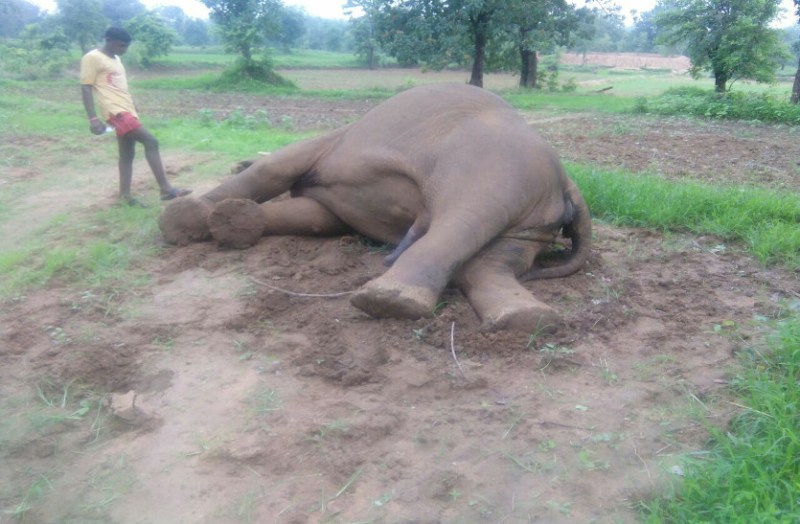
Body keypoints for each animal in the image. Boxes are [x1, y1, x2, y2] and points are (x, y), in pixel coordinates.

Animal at [158, 83, 591, 333]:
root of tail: (569, 182)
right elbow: (317, 217)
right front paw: (232, 222)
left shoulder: (332, 143)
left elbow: (276, 167)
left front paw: (180, 220)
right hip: (533, 218)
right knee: (491, 260)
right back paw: (526, 321)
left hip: (491, 170)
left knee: (462, 221)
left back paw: (388, 301)